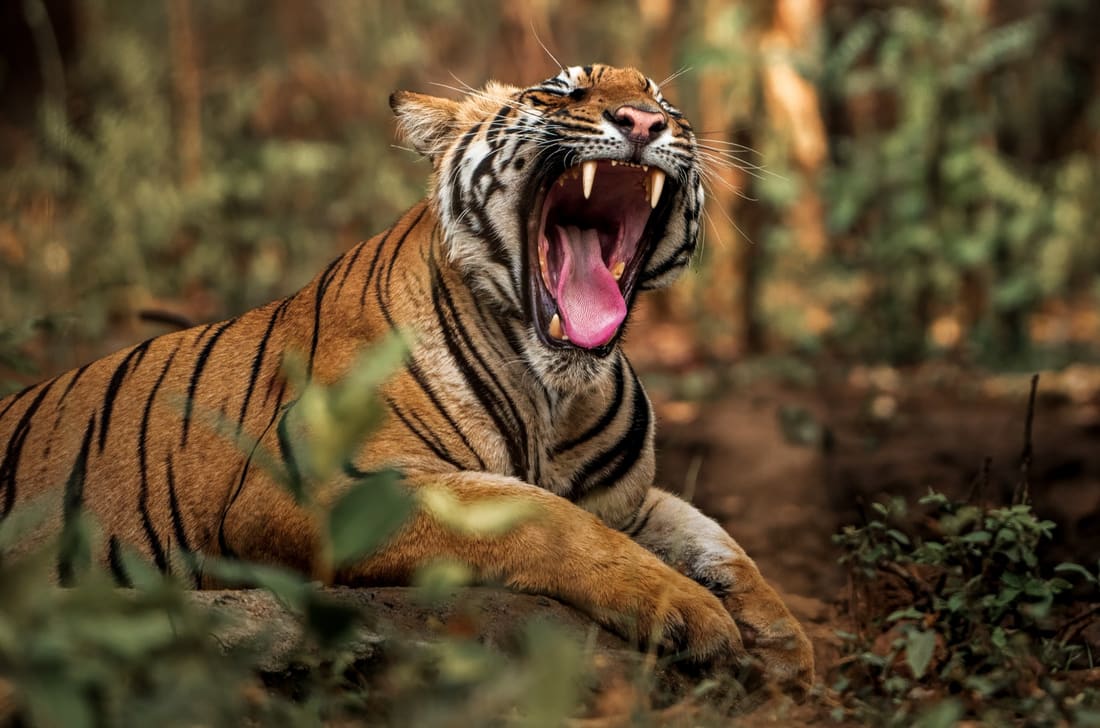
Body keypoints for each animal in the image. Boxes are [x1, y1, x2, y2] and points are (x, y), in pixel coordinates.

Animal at [0, 64, 812, 695]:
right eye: (560, 91)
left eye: (665, 103)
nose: (643, 120)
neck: (554, 394)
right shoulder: (318, 490)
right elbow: (545, 518)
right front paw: (689, 612)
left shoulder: (629, 501)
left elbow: (716, 540)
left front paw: (785, 644)